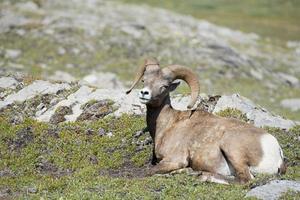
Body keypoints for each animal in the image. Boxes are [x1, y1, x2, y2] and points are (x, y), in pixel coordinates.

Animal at [125, 58, 284, 184]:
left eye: (164, 86)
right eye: (144, 81)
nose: (144, 93)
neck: (168, 125)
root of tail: (276, 150)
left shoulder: (174, 159)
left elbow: (149, 171)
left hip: (232, 149)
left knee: (245, 180)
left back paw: (204, 176)